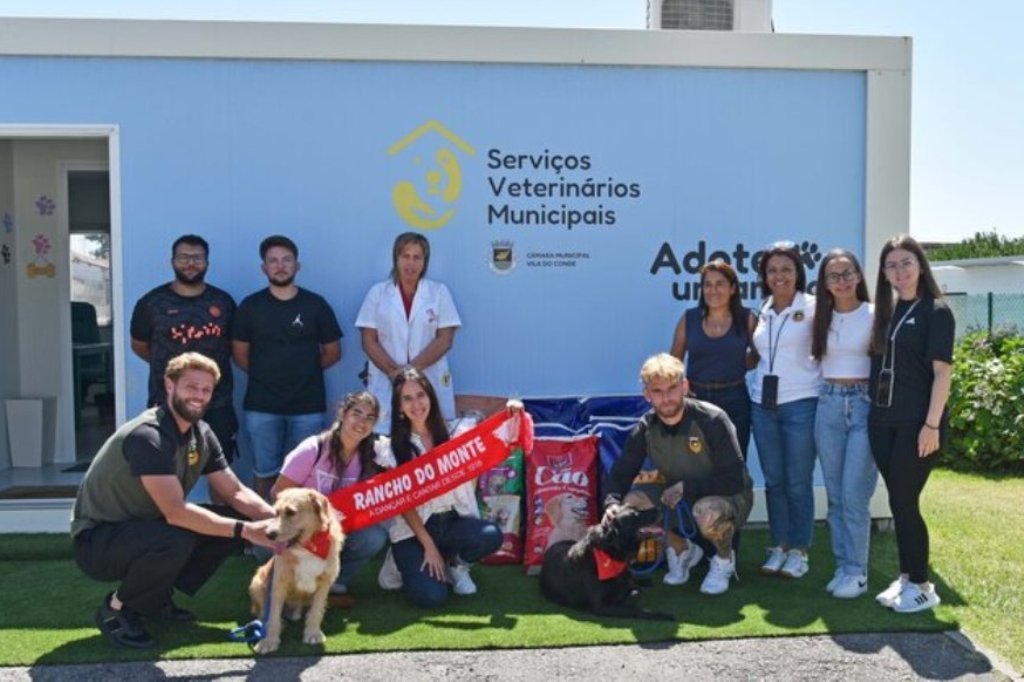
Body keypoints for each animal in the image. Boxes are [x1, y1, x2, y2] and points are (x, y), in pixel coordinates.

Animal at [247, 485, 344, 651]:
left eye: (291, 512)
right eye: (276, 513)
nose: (268, 535)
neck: (308, 546)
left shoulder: (325, 582)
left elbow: (316, 611)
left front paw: (313, 633)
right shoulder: (278, 583)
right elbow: (272, 615)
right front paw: (268, 641)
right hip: (257, 581)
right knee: (262, 613)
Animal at [536, 501, 671, 618]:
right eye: (635, 515)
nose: (660, 507)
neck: (610, 554)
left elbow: (636, 591)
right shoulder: (600, 606)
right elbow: (635, 609)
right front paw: (661, 615)